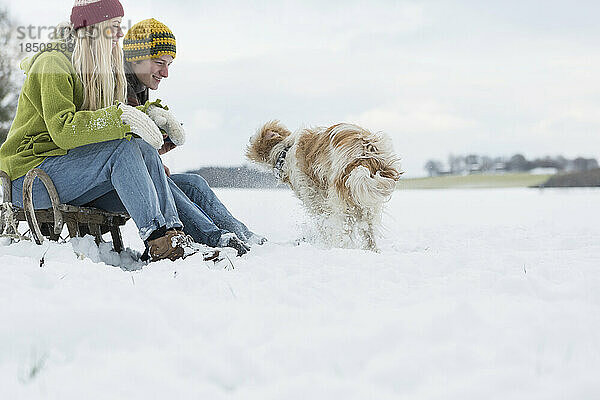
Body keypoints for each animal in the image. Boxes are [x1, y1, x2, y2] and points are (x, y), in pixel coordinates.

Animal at [246, 120, 400, 250]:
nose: (249, 137)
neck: (285, 150)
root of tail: (363, 152)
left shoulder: (314, 201)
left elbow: (323, 225)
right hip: (366, 201)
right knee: (368, 231)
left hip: (340, 201)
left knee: (345, 230)